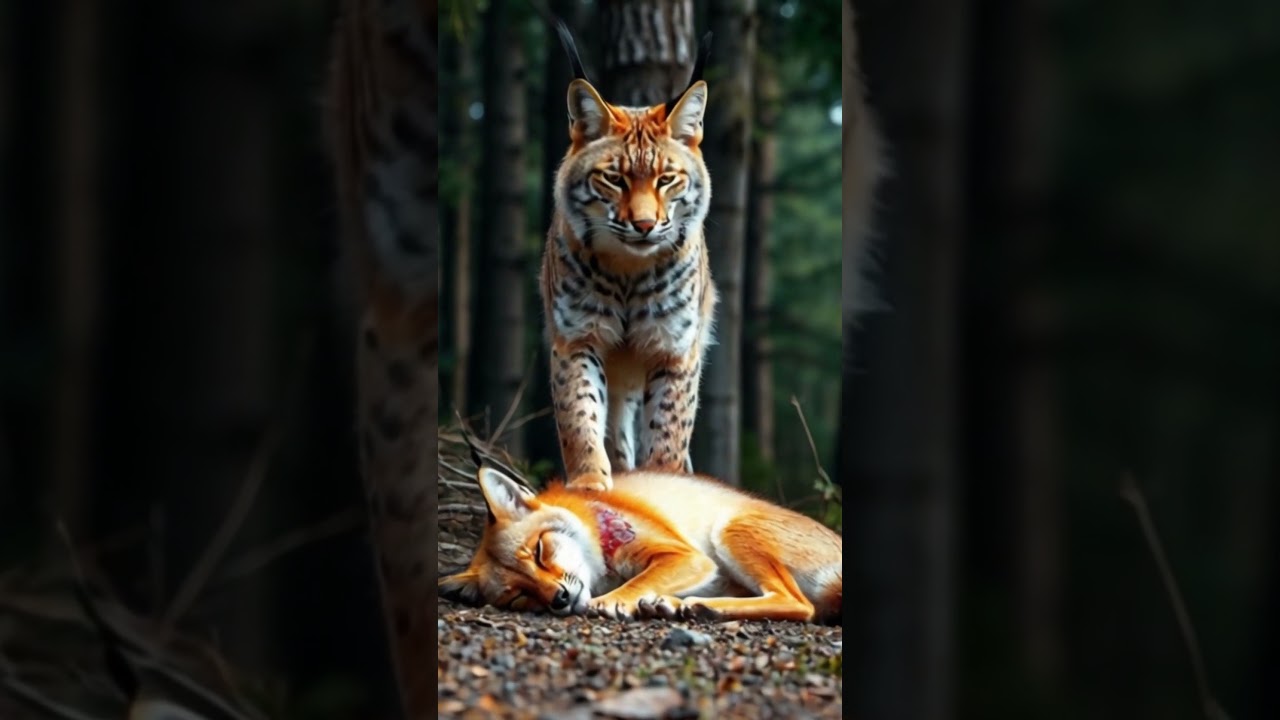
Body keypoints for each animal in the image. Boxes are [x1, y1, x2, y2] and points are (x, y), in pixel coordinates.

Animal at [438, 464, 843, 624]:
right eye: (518, 595)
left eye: (539, 552)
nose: (560, 599)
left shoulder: (688, 557)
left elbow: (638, 581)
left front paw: (611, 602)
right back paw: (683, 607)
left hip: (732, 532)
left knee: (799, 605)